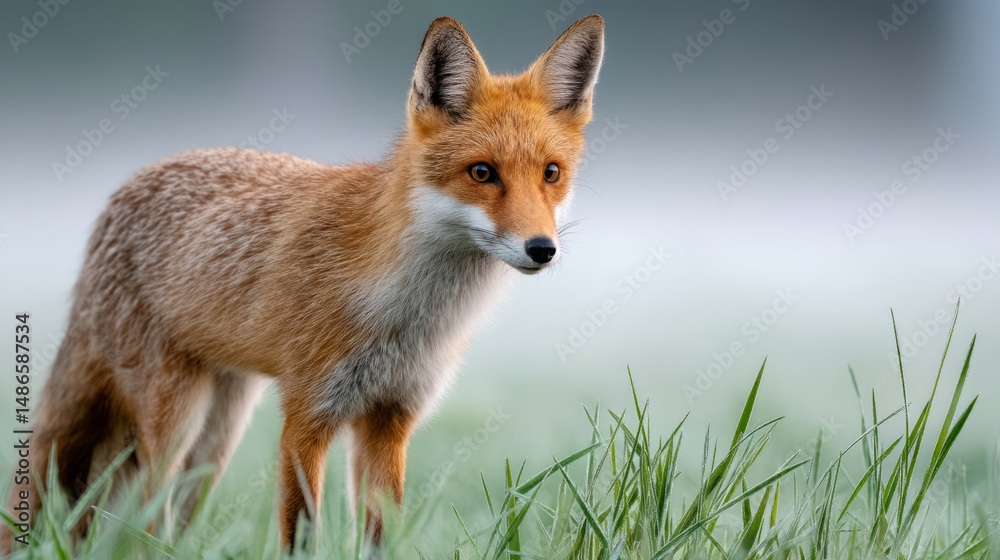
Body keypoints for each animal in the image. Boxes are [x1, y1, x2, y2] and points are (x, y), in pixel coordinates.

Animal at [2, 14, 604, 551]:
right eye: (482, 173)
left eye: (551, 174)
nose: (542, 249)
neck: (405, 313)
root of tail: (118, 195)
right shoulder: (306, 415)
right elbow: (302, 534)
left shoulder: (391, 417)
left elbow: (379, 535)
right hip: (175, 420)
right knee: (144, 521)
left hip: (217, 437)